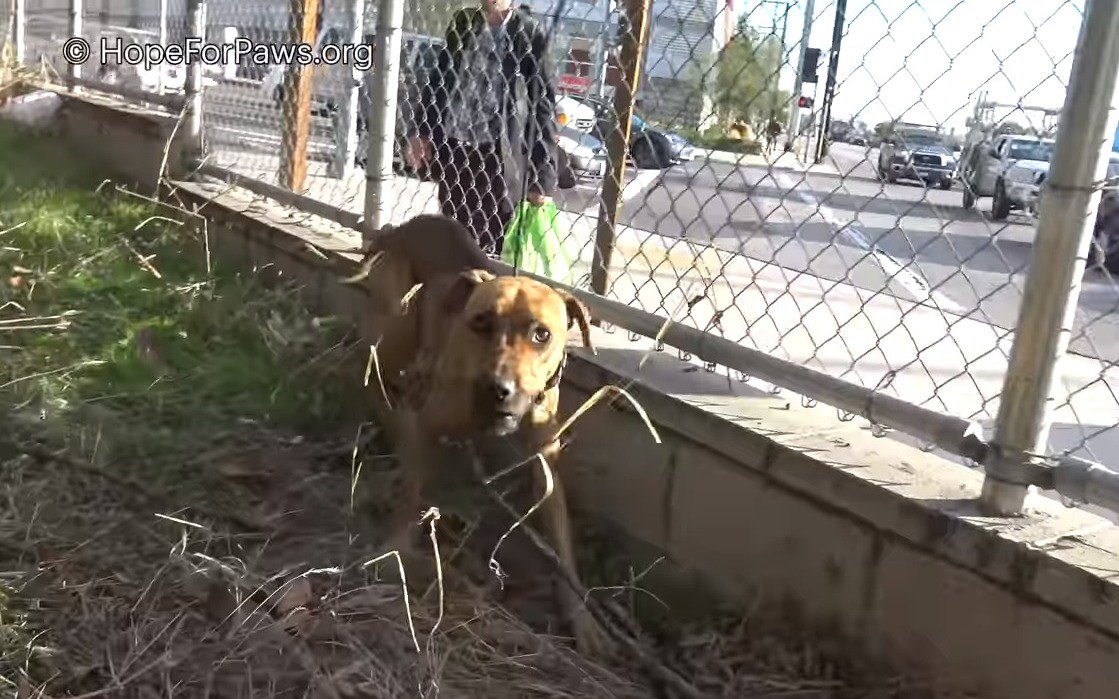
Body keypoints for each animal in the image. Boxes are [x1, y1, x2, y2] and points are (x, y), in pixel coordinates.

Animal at [351, 213, 608, 653]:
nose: (497, 388)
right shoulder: (428, 422)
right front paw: (394, 552)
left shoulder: (546, 464)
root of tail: (404, 224)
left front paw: (582, 616)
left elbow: (561, 543)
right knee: (377, 383)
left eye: (542, 334)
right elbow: (410, 495)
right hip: (392, 330)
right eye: (480, 322)